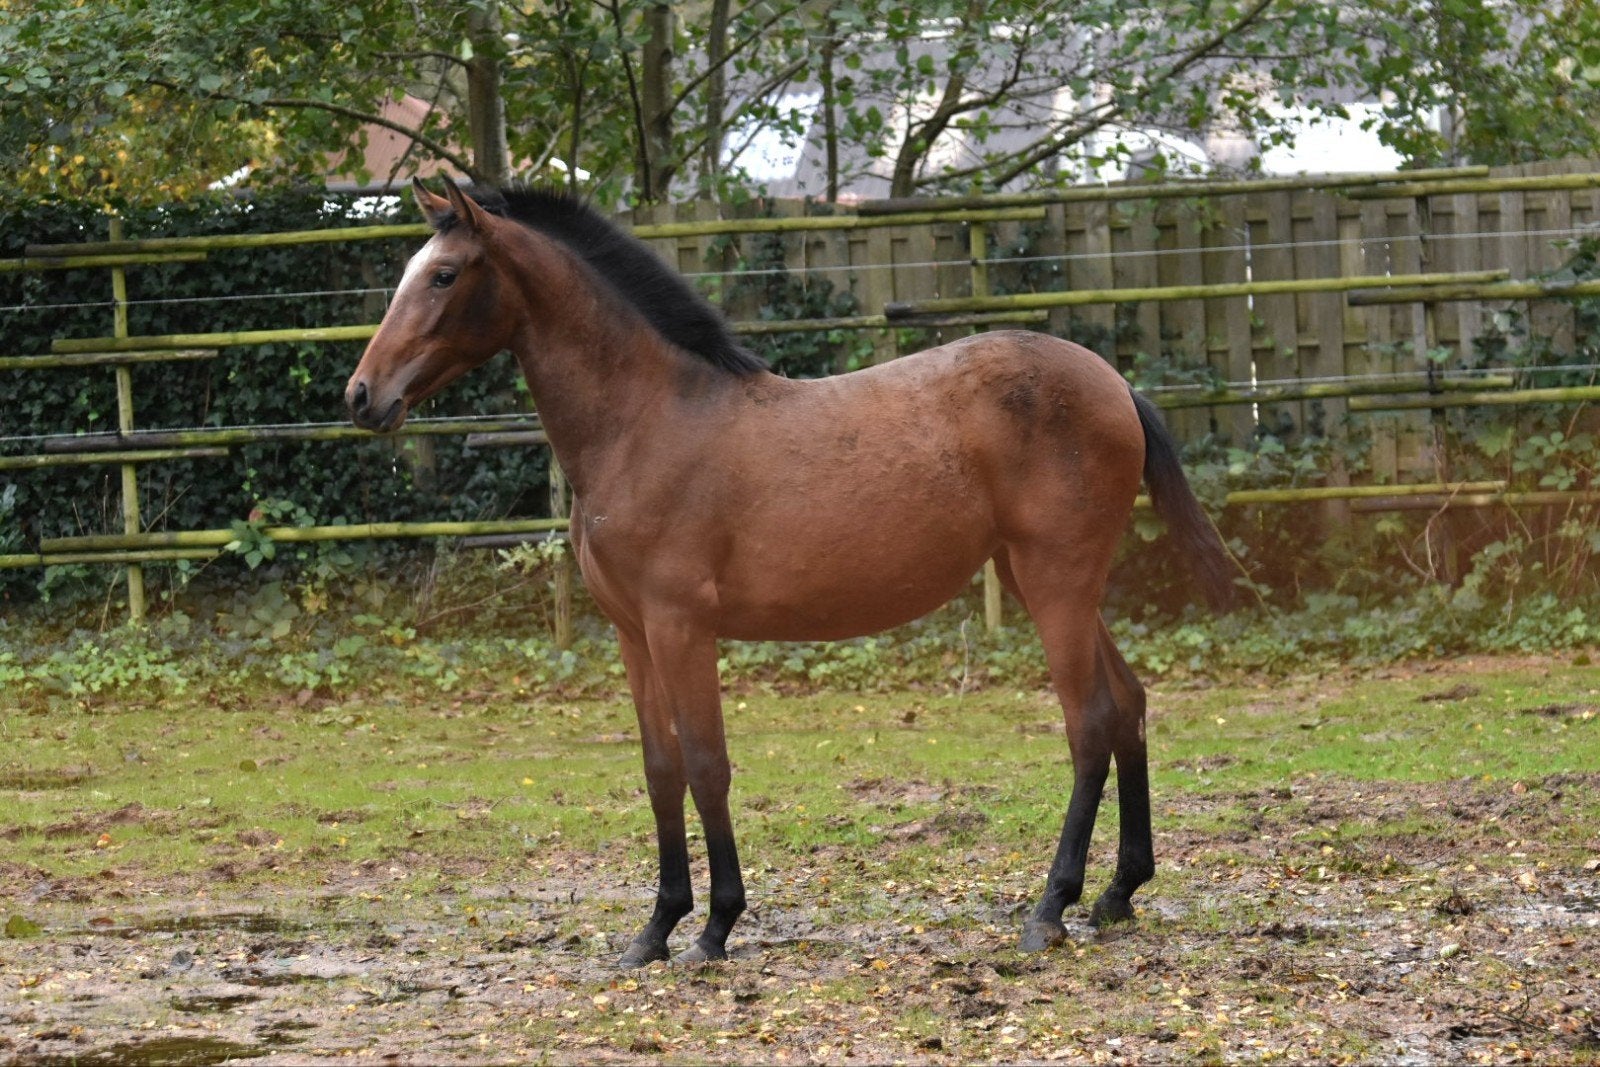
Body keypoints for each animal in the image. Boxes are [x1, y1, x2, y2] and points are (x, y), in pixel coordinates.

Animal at [346, 179, 1234, 966]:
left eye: (444, 274)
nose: (362, 395)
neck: (647, 421)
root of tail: (1115, 384)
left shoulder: (681, 626)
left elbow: (707, 765)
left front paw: (714, 927)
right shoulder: (633, 632)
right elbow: (661, 769)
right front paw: (654, 930)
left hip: (1056, 583)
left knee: (1089, 723)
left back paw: (1051, 908)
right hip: (1039, 581)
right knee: (1128, 704)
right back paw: (1119, 893)